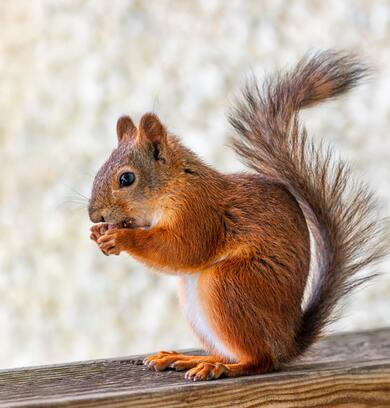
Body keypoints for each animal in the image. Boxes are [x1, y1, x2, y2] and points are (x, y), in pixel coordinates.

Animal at [88, 51, 384, 382]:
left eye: (126, 179)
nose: (93, 215)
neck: (175, 183)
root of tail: (287, 342)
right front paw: (99, 234)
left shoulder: (199, 211)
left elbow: (183, 249)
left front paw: (120, 237)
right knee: (231, 351)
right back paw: (189, 358)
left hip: (229, 284)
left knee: (259, 360)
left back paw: (220, 367)